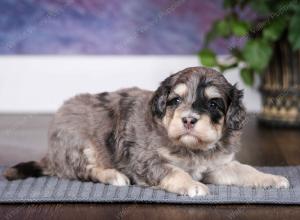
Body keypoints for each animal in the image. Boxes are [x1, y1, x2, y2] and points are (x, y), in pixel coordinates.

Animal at [4, 67, 290, 198]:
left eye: (213, 104)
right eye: (176, 100)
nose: (188, 120)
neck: (191, 148)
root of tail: (51, 153)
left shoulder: (218, 165)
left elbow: (246, 170)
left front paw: (272, 179)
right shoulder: (145, 160)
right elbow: (174, 171)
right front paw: (193, 185)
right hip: (80, 143)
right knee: (86, 171)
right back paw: (113, 176)